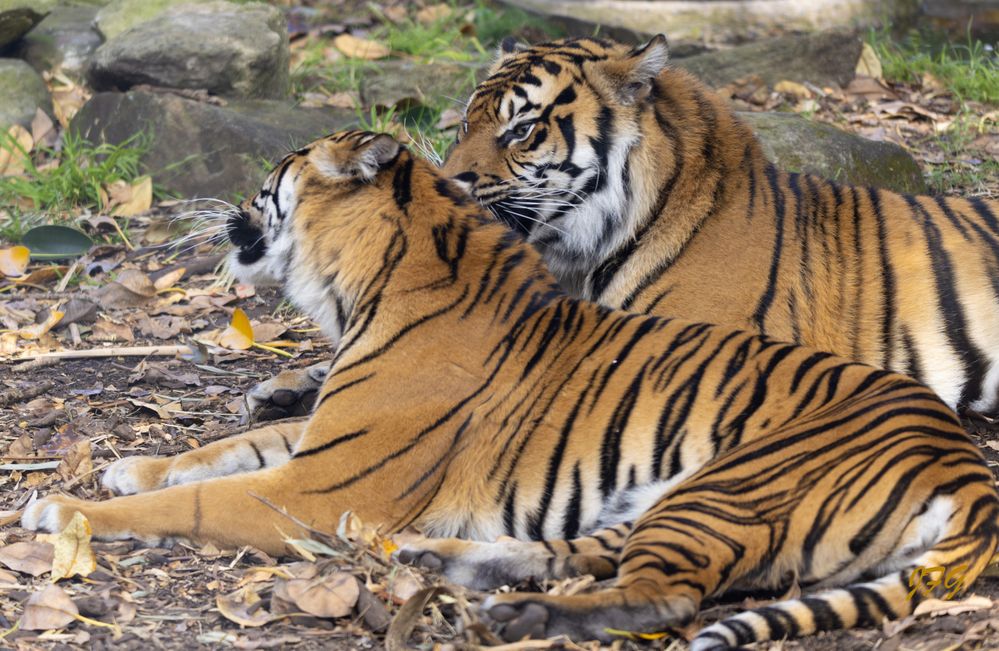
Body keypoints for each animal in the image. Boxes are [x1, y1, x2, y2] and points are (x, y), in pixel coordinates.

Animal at [21, 130, 999, 648]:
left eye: (274, 178)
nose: (228, 213)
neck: (364, 287)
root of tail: (966, 468)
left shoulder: (317, 487)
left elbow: (194, 500)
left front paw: (63, 510)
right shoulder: (322, 444)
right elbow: (222, 448)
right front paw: (130, 466)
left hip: (730, 483)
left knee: (665, 595)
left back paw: (508, 608)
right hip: (665, 496)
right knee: (592, 553)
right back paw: (445, 563)